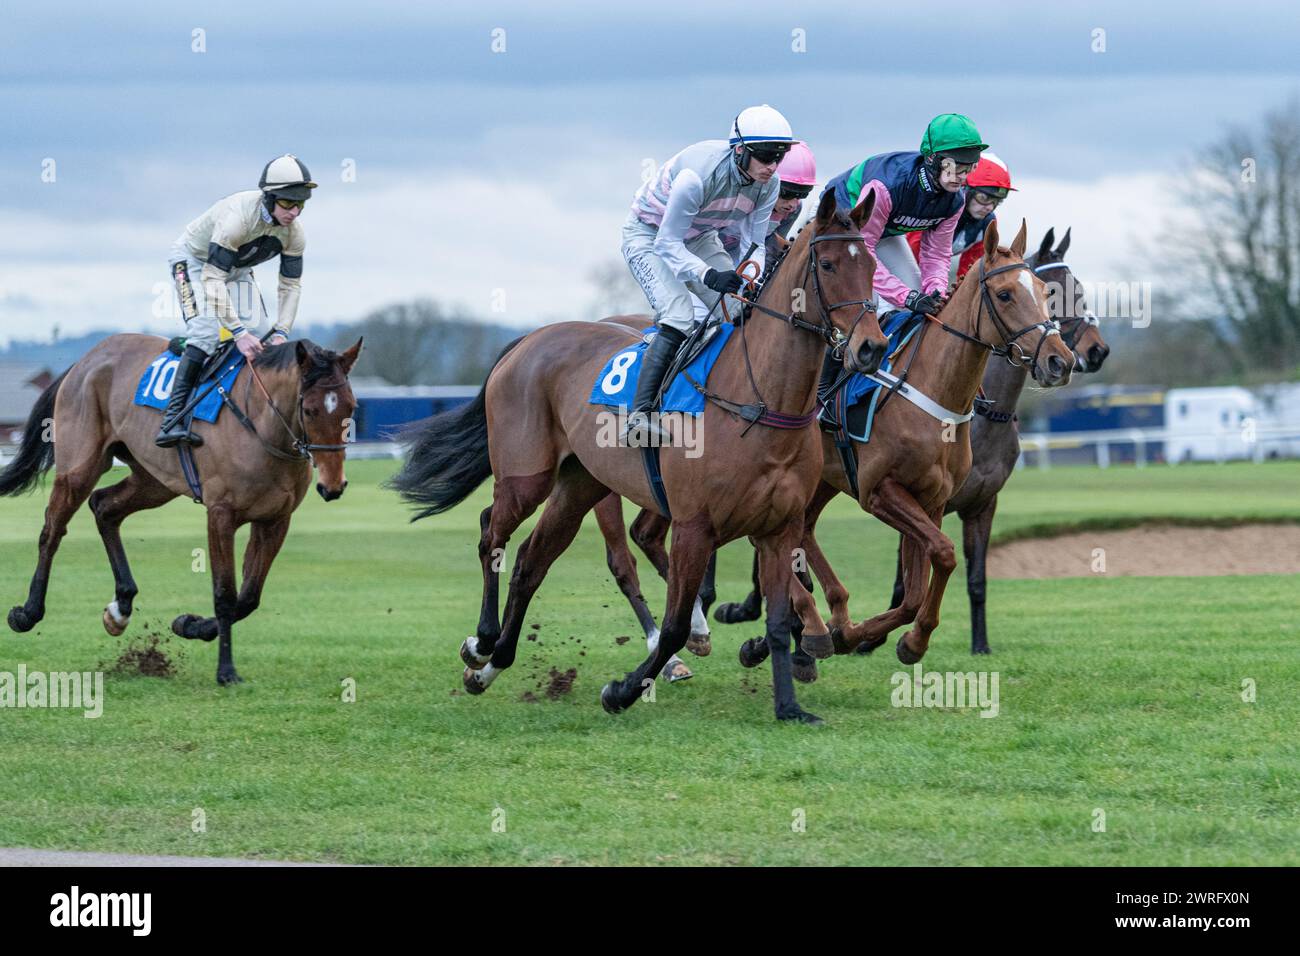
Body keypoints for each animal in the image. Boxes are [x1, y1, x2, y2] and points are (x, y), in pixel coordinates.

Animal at [1, 332, 361, 686]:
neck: (261, 425)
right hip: (79, 467)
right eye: (310, 410)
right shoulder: (221, 514)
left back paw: (120, 608)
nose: (333, 485)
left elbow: (248, 598)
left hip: (155, 481)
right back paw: (27, 612)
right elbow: (225, 594)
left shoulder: (275, 520)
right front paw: (226, 671)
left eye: (351, 406)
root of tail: (86, 360)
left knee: (104, 507)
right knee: (52, 530)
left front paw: (191, 625)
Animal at [390, 188, 889, 723]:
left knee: (530, 562)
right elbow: (674, 625)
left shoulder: (781, 528)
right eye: (829, 264)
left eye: (870, 263)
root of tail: (529, 338)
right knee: (492, 534)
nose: (872, 347)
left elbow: (778, 619)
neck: (760, 402)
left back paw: (491, 665)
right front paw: (623, 690)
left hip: (580, 484)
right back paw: (481, 642)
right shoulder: (694, 527)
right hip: (527, 476)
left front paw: (790, 707)